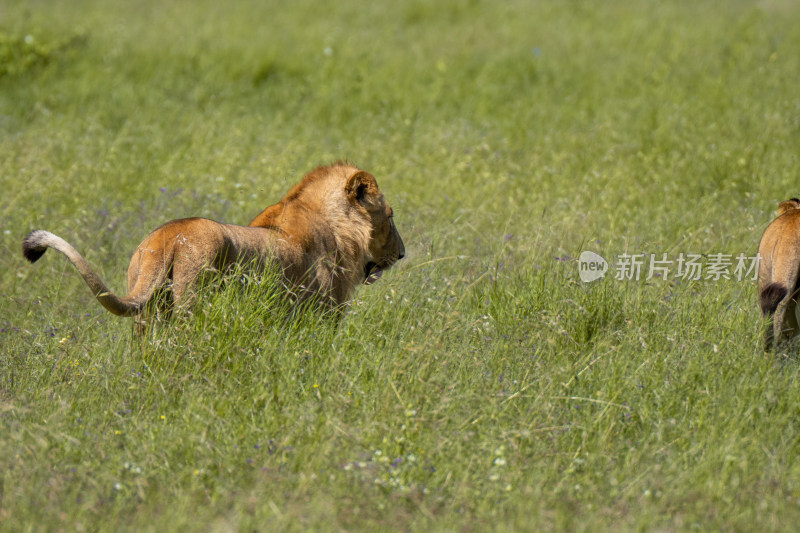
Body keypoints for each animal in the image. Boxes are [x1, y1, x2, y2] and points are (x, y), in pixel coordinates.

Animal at [22, 162, 410, 324]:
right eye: (391, 217)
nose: (403, 254)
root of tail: (168, 237)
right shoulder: (322, 316)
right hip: (192, 303)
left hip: (147, 313)